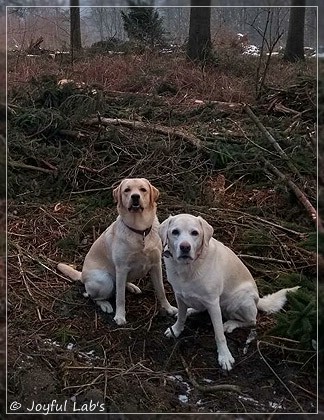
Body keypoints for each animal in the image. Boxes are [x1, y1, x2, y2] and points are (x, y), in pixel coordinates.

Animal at [57, 177, 176, 324]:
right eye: (127, 190)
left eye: (143, 189)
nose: (135, 197)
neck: (140, 230)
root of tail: (82, 275)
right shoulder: (121, 268)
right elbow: (120, 297)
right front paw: (120, 316)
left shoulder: (156, 265)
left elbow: (161, 291)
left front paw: (168, 308)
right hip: (105, 281)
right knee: (92, 296)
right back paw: (105, 304)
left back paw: (131, 286)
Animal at [159, 213, 298, 370]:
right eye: (175, 232)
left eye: (194, 233)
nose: (185, 247)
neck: (188, 267)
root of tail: (258, 298)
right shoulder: (179, 295)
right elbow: (181, 317)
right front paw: (176, 330)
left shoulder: (213, 303)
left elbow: (219, 334)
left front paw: (224, 356)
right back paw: (191, 310)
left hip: (238, 301)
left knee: (251, 321)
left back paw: (230, 324)